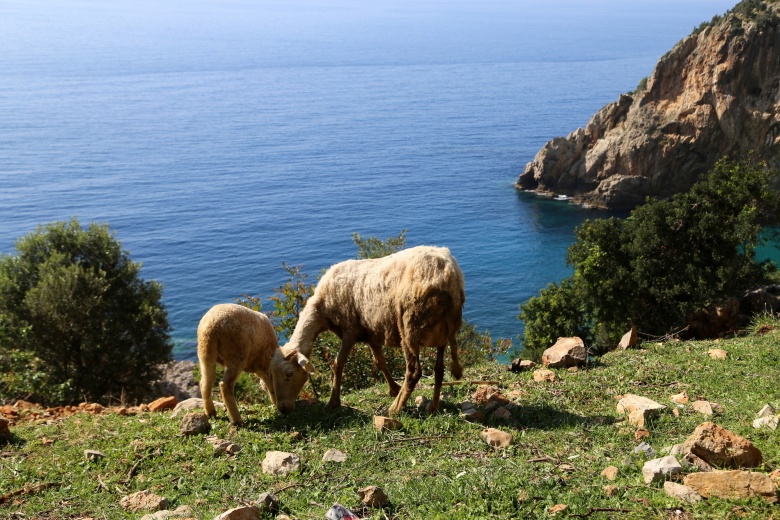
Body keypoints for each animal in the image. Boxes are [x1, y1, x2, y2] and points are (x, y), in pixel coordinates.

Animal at [284, 245, 464, 414]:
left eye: (288, 374)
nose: (284, 409)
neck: (321, 308)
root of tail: (449, 274)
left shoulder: (349, 331)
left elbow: (338, 364)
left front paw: (333, 402)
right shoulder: (371, 334)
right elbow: (380, 362)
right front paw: (393, 389)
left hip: (410, 327)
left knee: (414, 372)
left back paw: (394, 409)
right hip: (442, 331)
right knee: (439, 369)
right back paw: (433, 407)